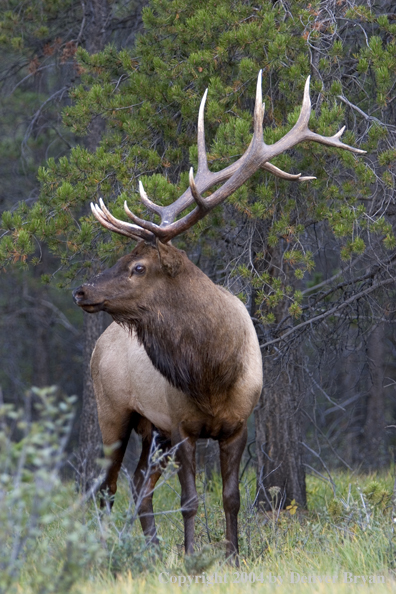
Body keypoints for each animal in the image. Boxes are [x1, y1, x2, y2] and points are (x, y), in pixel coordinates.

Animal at [72, 71, 364, 560]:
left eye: (138, 266)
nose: (82, 290)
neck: (211, 371)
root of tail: (99, 343)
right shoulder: (182, 425)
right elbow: (190, 499)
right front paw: (194, 554)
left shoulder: (237, 425)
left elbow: (231, 496)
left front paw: (232, 553)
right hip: (113, 410)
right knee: (106, 488)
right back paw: (107, 549)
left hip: (152, 430)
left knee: (137, 483)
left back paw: (151, 548)